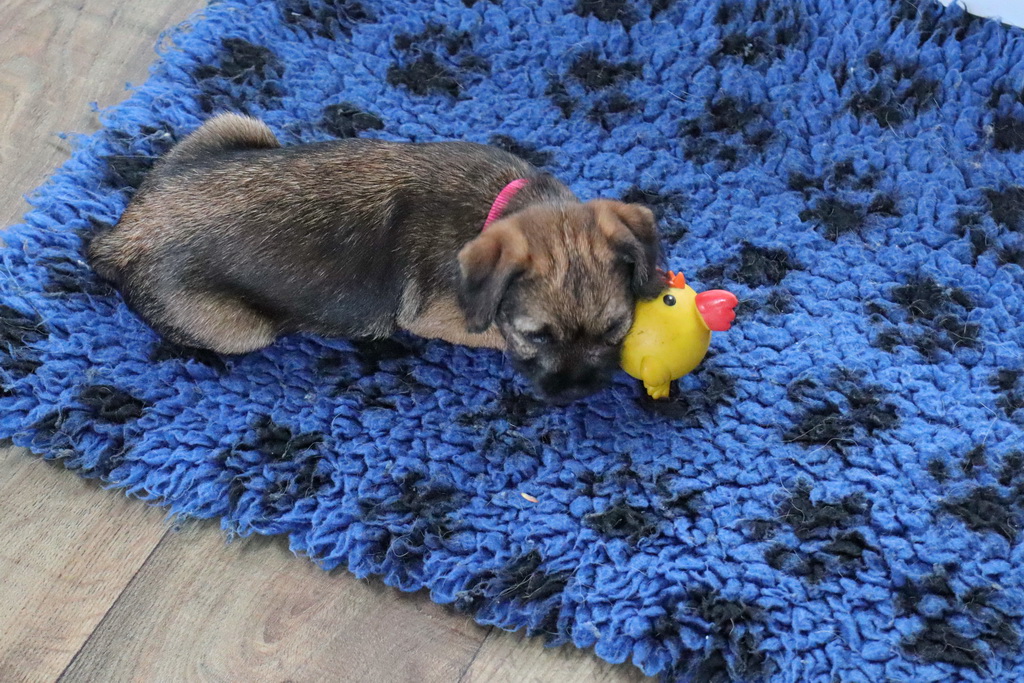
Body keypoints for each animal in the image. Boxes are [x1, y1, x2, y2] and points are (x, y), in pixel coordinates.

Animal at [89, 113, 664, 403]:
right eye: (535, 336)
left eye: (615, 330)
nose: (576, 394)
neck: (499, 206)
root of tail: (124, 236)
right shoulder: (440, 318)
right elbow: (486, 333)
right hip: (238, 329)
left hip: (237, 125)